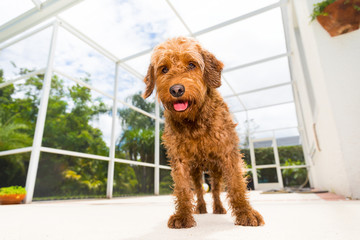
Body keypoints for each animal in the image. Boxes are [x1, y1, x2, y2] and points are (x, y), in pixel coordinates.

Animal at [143, 36, 264, 228]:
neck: (194, 123)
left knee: (215, 190)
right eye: (164, 69)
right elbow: (183, 189)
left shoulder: (228, 153)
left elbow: (236, 184)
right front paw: (183, 215)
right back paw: (200, 207)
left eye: (192, 64)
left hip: (215, 169)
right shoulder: (180, 159)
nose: (176, 90)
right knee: (199, 189)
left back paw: (218, 207)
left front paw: (245, 212)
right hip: (196, 170)